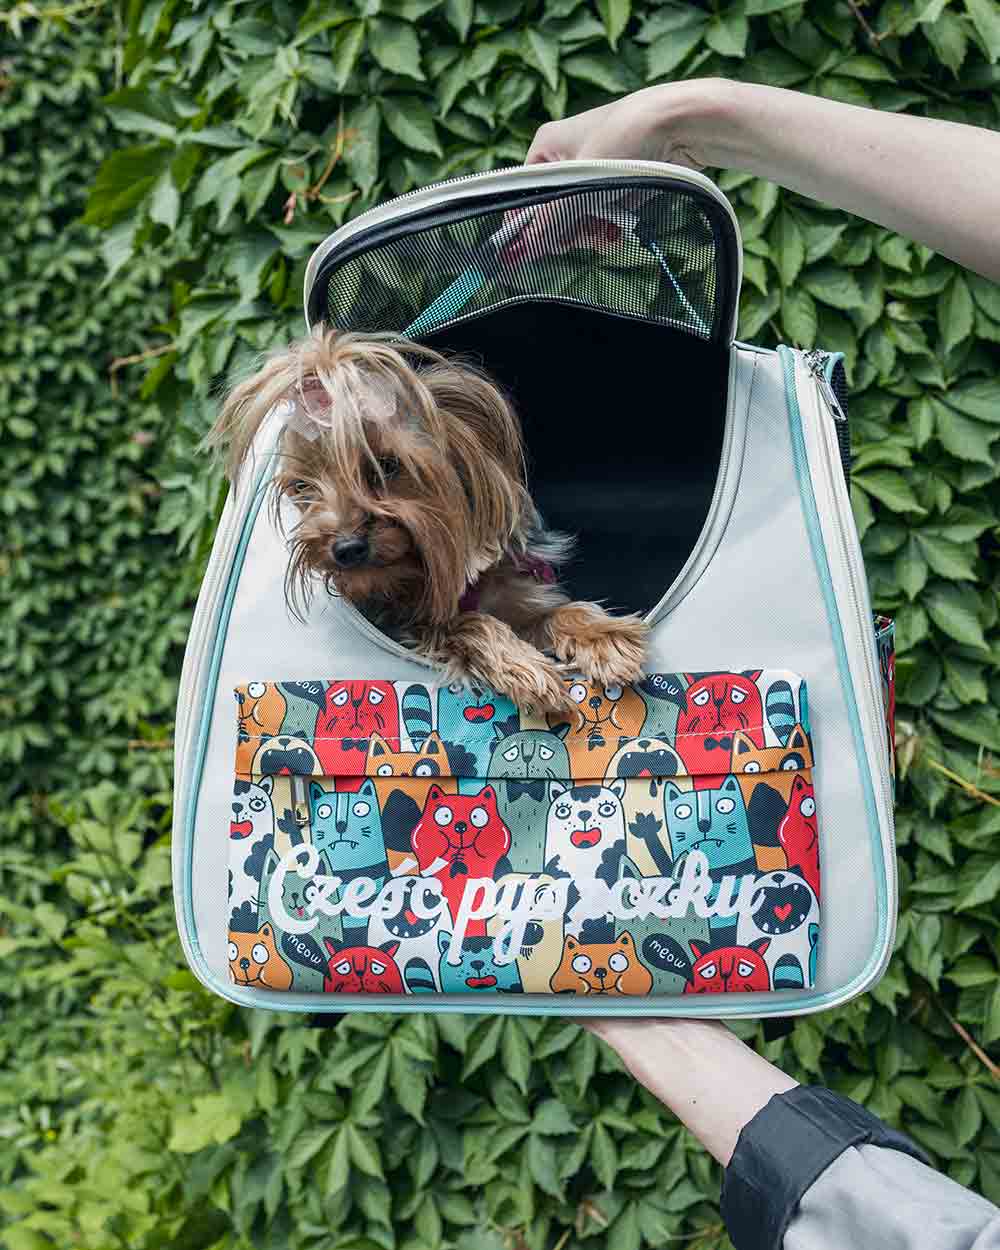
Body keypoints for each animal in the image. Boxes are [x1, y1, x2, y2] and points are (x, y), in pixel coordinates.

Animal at [208, 328, 648, 714]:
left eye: (386, 465)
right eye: (302, 487)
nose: (345, 548)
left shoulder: (520, 591)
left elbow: (556, 611)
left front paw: (606, 639)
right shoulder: (411, 627)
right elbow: (469, 623)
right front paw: (524, 668)